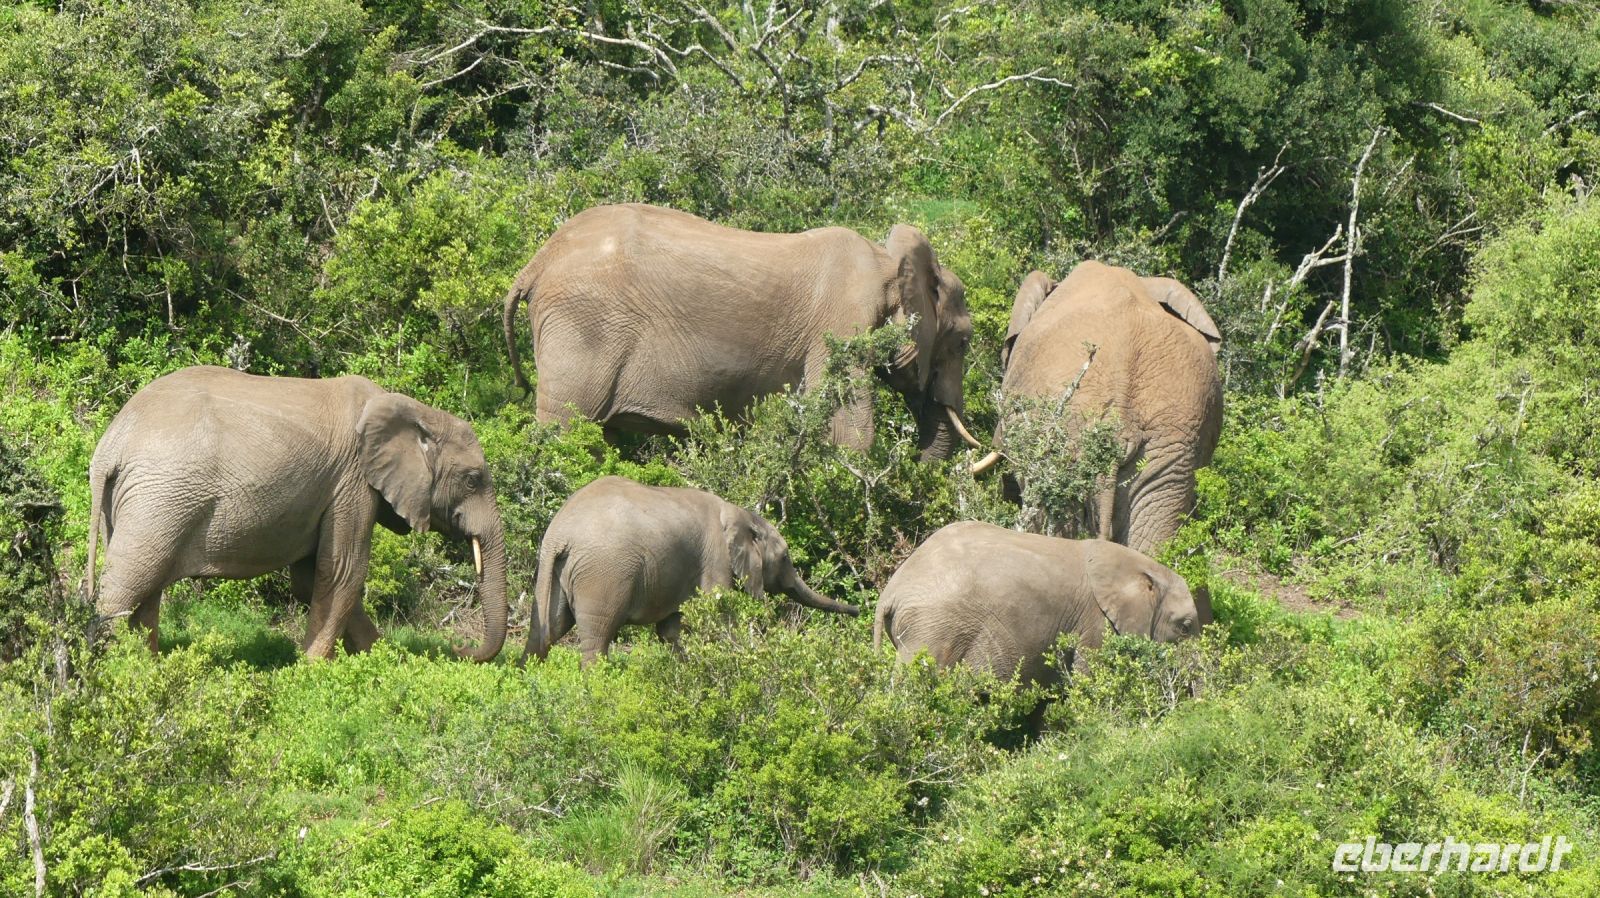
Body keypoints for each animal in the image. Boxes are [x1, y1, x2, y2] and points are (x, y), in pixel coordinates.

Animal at [86, 366, 508, 661]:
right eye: (473, 480)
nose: (459, 648)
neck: (416, 410)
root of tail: (110, 445)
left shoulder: (329, 490)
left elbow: (311, 578)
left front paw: (385, 660)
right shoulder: (352, 482)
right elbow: (342, 572)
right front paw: (313, 670)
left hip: (135, 505)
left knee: (145, 590)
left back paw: (147, 668)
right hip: (160, 499)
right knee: (125, 588)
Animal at [502, 203, 983, 460]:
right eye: (962, 342)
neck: (888, 263)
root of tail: (537, 261)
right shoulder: (840, 328)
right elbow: (849, 432)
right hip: (583, 323)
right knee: (565, 428)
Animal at [523, 476, 858, 665]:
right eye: (786, 557)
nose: (857, 611)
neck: (738, 512)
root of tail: (559, 536)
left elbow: (671, 629)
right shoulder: (716, 561)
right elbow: (720, 619)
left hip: (556, 572)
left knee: (546, 631)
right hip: (603, 574)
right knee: (598, 637)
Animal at [873, 521, 1202, 686]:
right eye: (1184, 628)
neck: (1143, 567)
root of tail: (891, 592)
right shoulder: (1096, 623)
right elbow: (1088, 677)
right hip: (931, 629)